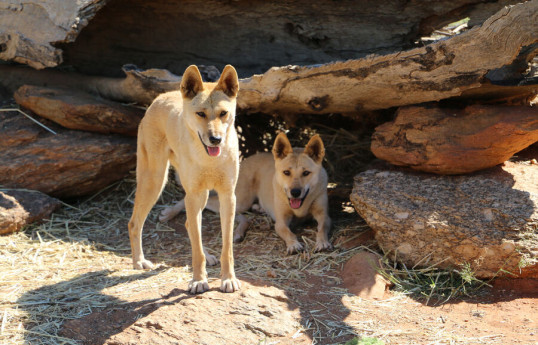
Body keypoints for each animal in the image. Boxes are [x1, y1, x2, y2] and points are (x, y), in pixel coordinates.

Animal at [127, 64, 239, 292]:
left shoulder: (227, 196)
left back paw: (209, 255)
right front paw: (198, 280)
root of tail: (161, 96)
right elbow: (196, 250)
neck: (209, 159)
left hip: (200, 195)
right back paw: (139, 261)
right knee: (134, 223)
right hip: (155, 182)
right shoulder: (193, 196)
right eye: (201, 114)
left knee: (189, 225)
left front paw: (228, 278)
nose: (216, 139)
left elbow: (227, 248)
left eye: (223, 113)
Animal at [159, 132, 330, 253]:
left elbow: (322, 228)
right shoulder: (281, 222)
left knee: (242, 216)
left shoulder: (324, 215)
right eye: (286, 172)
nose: (295, 192)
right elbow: (288, 232)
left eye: (306, 173)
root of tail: (245, 160)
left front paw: (322, 242)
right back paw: (170, 212)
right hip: (242, 199)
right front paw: (294, 244)